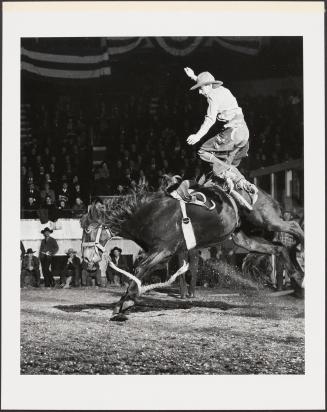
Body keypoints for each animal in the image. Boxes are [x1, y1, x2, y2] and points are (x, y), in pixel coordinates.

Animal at [81, 175, 304, 320]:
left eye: (89, 228)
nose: (86, 260)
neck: (150, 212)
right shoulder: (161, 254)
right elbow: (140, 270)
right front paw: (122, 302)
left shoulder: (163, 251)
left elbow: (139, 268)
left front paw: (126, 302)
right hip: (244, 237)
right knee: (279, 249)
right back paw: (298, 277)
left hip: (268, 220)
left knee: (293, 227)